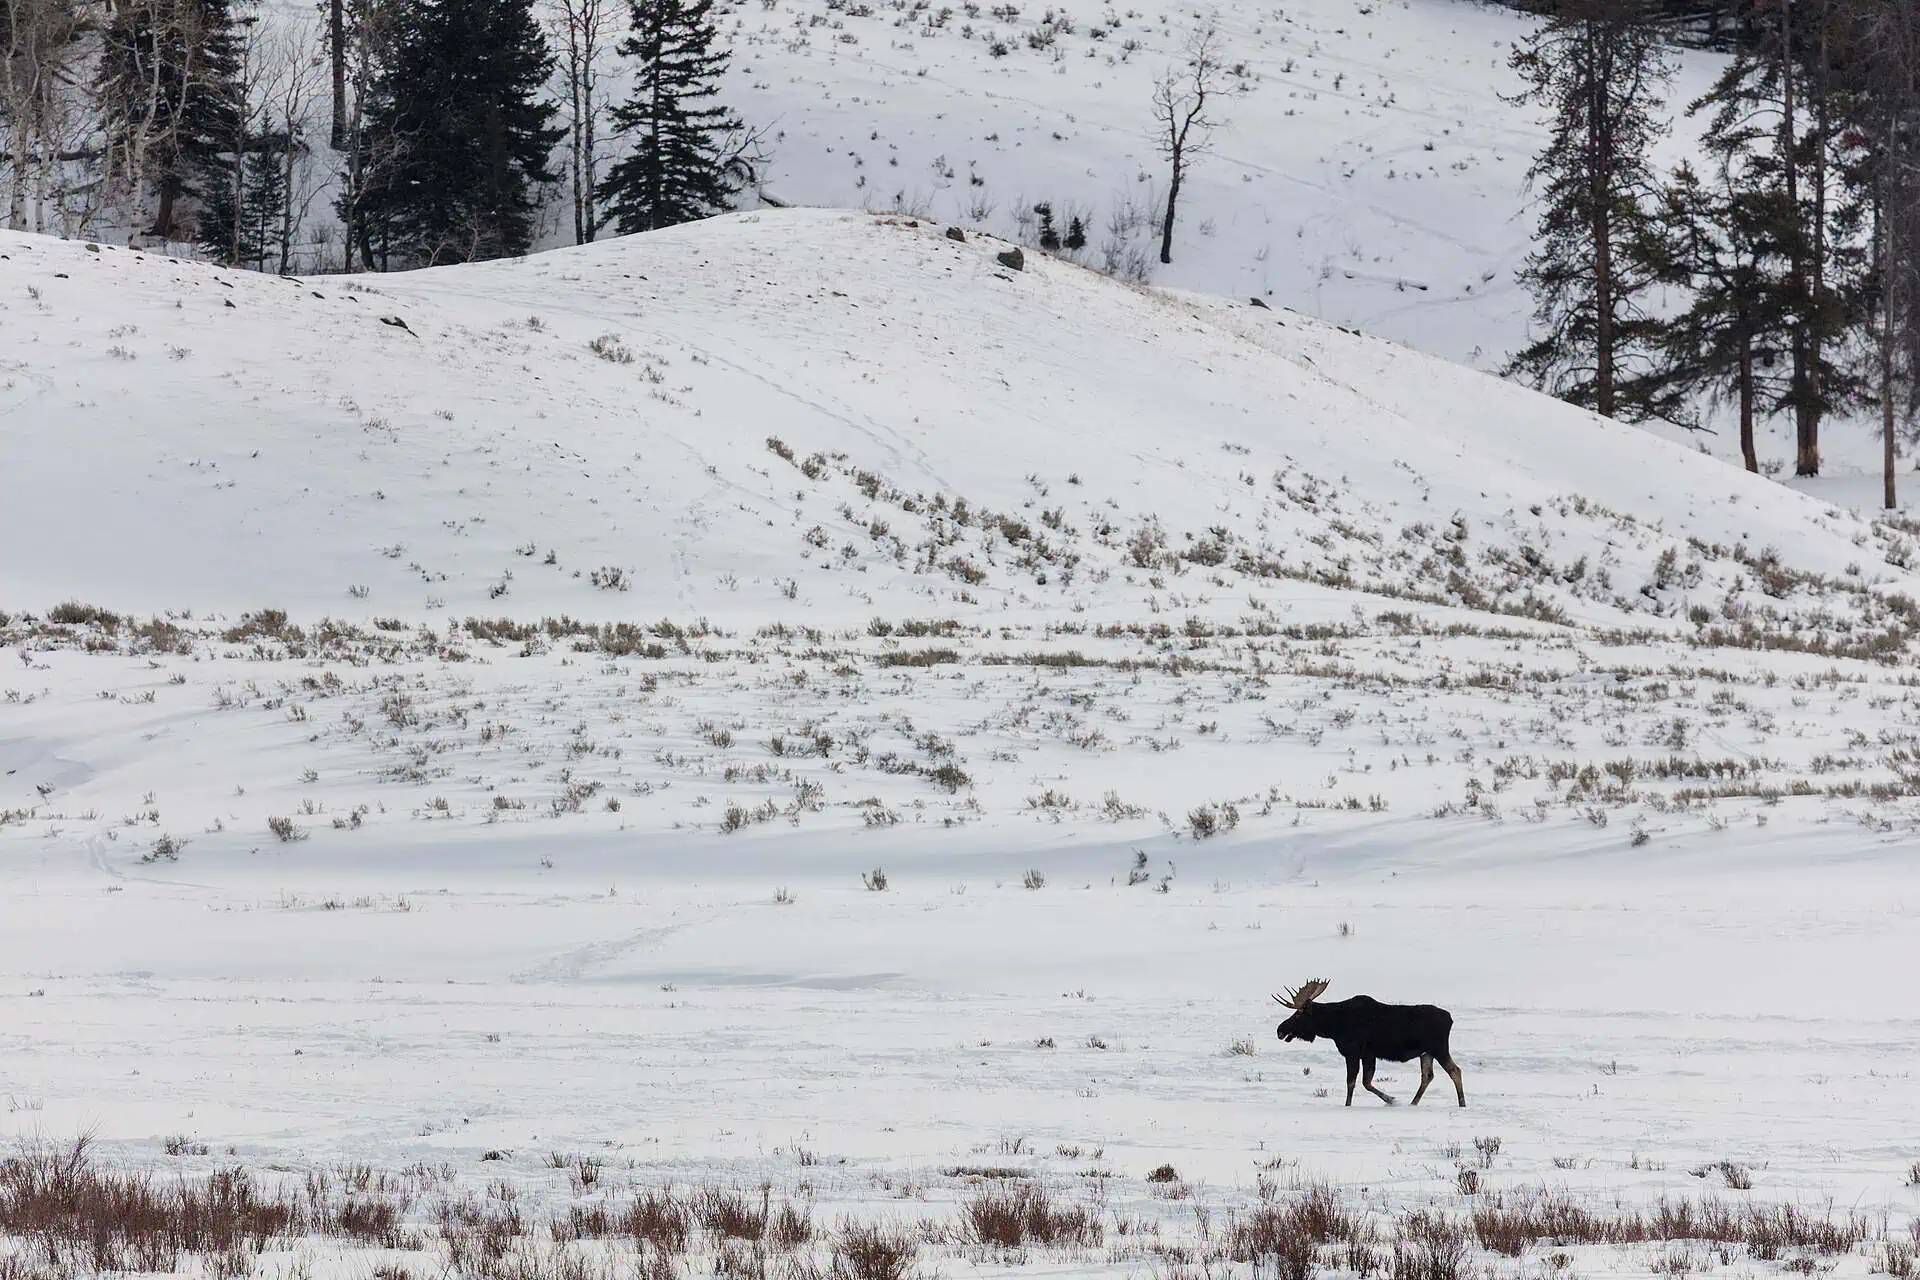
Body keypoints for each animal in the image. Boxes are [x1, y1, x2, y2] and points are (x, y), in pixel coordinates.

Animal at [1273, 978, 1465, 1107]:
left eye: (1298, 1014)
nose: (1280, 1030)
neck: (1334, 1027)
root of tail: (1450, 1019)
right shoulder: (1368, 1054)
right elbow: (1367, 1082)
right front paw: (1391, 1099)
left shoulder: (1352, 1052)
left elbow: (1352, 1082)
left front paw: (1349, 1105)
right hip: (1426, 1053)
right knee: (1427, 1075)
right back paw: (1413, 1103)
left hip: (1439, 1048)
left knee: (1455, 1070)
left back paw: (1462, 1103)